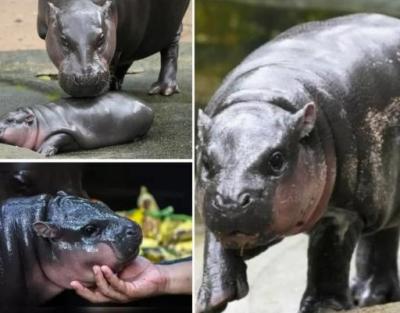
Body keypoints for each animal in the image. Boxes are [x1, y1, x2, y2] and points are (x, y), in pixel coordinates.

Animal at [0, 92, 154, 156]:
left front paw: (42, 151)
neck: (38, 121)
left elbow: (57, 137)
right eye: (2, 115)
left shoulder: (66, 130)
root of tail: (148, 105)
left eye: (10, 120)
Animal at [37, 0, 189, 97]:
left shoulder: (119, 39)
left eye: (101, 37)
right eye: (63, 39)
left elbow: (113, 63)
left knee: (170, 49)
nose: (86, 79)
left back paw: (163, 89)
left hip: (172, 25)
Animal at [198, 12, 400, 312]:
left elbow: (328, 256)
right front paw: (211, 301)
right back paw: (368, 297)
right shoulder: (210, 202)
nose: (232, 202)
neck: (263, 98)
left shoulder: (345, 211)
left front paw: (323, 307)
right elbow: (214, 243)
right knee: (382, 238)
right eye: (206, 161)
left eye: (277, 159)